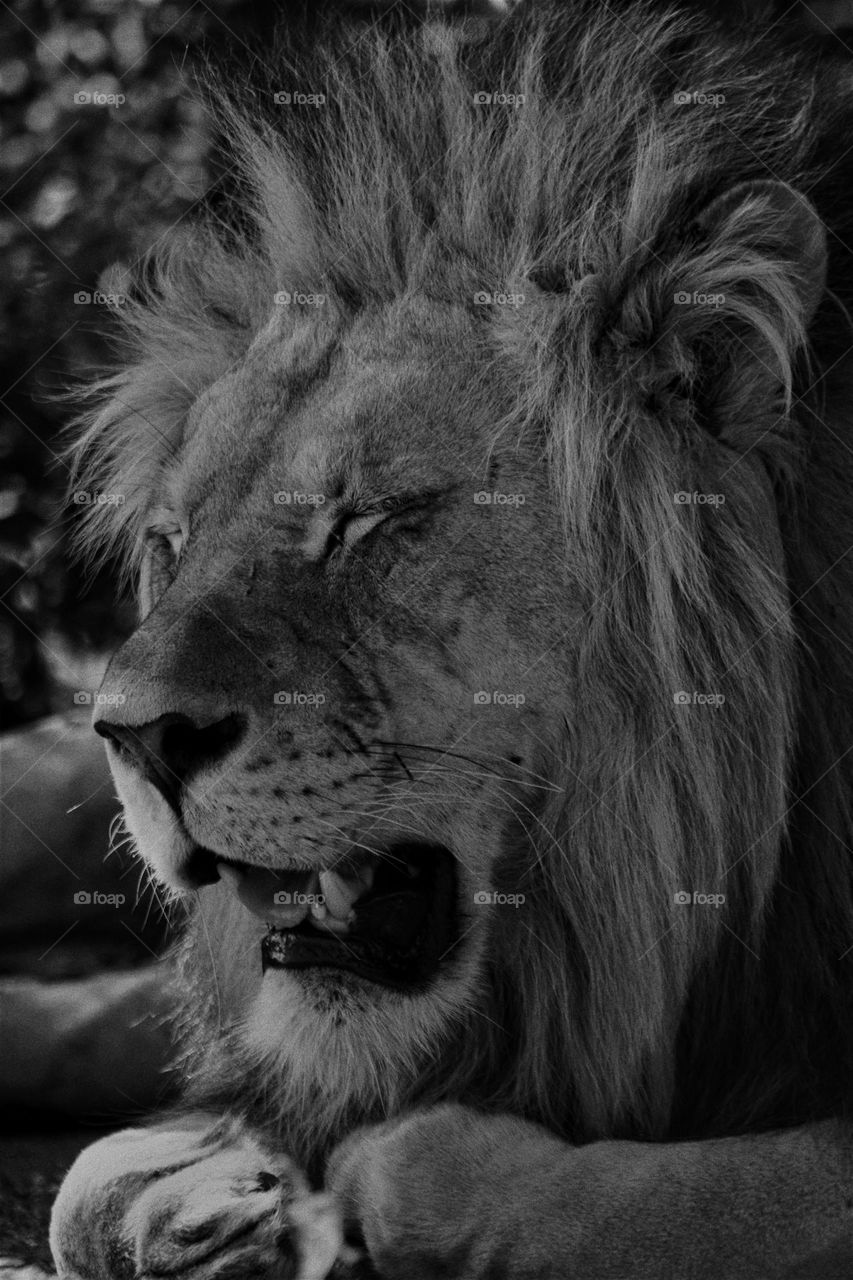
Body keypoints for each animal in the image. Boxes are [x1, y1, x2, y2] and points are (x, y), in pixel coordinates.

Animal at [49, 1, 853, 1276]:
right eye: (173, 543)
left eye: (368, 520)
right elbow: (82, 1178)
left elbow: (684, 1197)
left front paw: (365, 1180)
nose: (131, 735)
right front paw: (209, 1192)